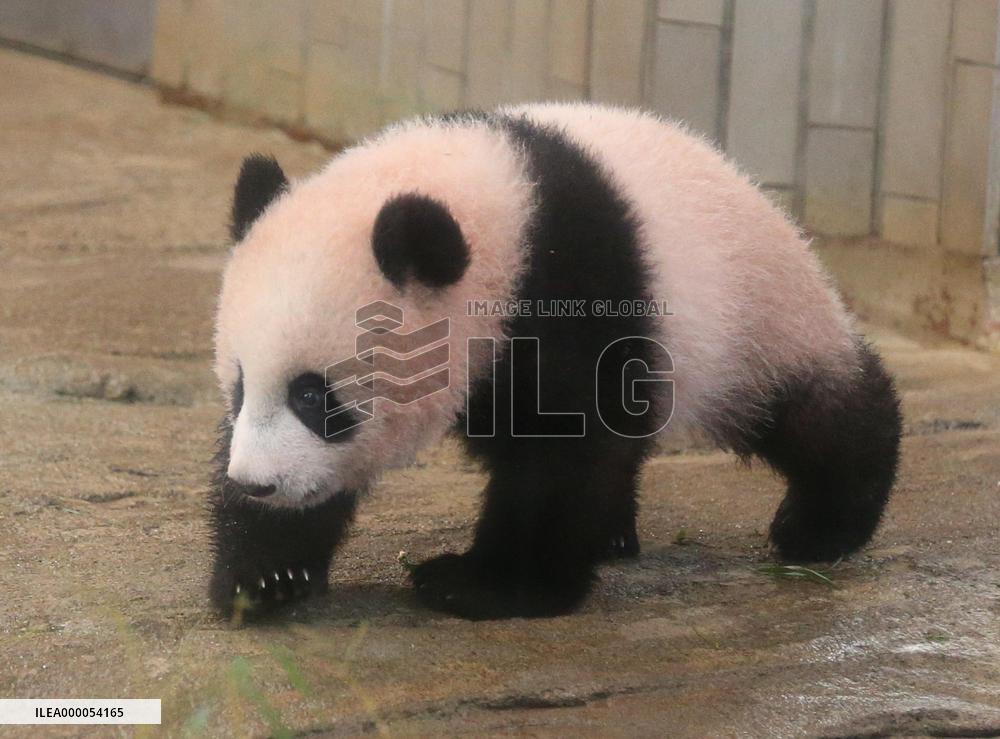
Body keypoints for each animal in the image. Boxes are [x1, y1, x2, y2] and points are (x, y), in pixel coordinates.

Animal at [209, 102, 901, 620]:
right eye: (240, 387)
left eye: (314, 397)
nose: (256, 485)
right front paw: (266, 575)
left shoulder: (570, 285)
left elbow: (561, 448)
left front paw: (484, 585)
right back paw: (615, 535)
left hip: (752, 318)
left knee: (816, 410)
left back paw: (822, 524)